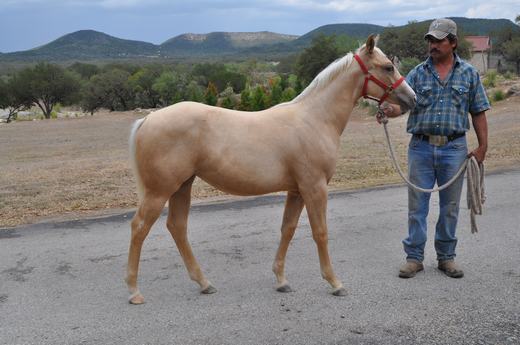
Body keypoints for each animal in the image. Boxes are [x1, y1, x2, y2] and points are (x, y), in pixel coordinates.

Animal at [125, 35, 414, 304]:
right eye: (388, 66)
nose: (412, 98)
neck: (315, 119)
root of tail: (148, 119)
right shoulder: (315, 187)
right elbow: (320, 233)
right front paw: (334, 282)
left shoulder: (297, 191)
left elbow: (288, 229)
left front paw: (281, 280)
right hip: (160, 190)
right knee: (139, 227)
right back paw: (134, 290)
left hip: (182, 186)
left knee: (177, 227)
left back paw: (204, 283)